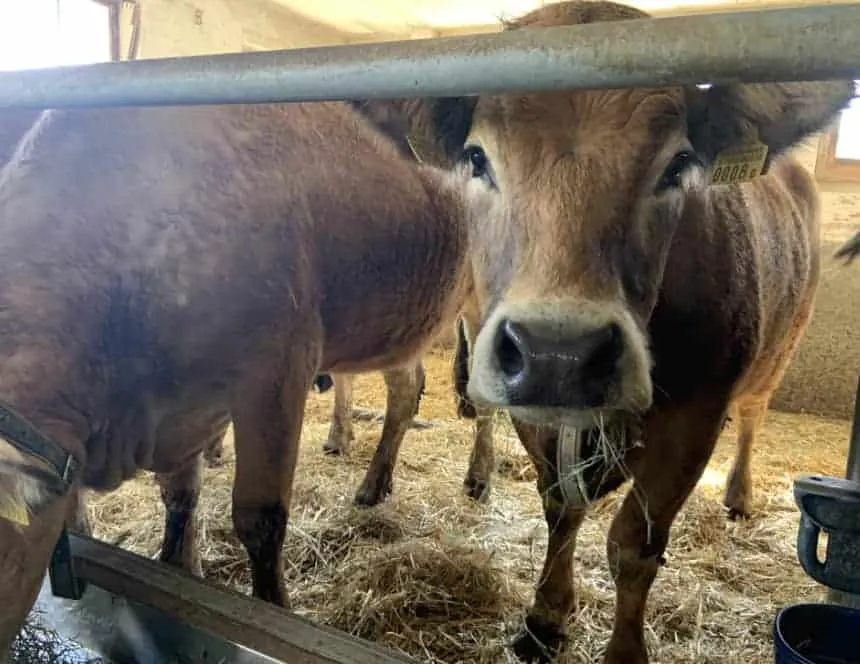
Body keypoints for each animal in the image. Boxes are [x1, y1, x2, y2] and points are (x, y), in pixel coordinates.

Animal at [0, 99, 494, 653]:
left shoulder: (277, 374)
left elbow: (259, 518)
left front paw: (272, 610)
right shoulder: (182, 408)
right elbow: (179, 498)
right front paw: (178, 567)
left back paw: (478, 479)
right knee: (406, 391)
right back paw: (374, 484)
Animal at [353, 1, 853, 660]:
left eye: (678, 165)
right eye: (477, 158)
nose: (558, 353)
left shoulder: (692, 420)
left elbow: (634, 545)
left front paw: (624, 649)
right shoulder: (534, 411)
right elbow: (559, 508)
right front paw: (544, 617)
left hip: (781, 344)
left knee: (753, 413)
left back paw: (740, 493)